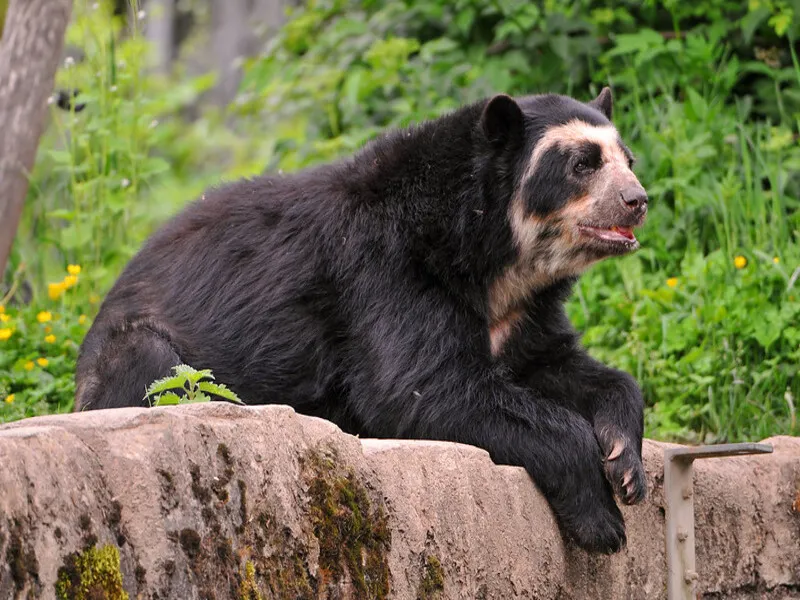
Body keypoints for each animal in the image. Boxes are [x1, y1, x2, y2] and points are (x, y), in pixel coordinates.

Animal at [75, 86, 648, 556]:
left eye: (628, 160)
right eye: (582, 164)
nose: (637, 200)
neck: (494, 259)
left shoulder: (522, 313)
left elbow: (564, 366)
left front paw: (626, 465)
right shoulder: (386, 270)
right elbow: (422, 387)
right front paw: (601, 521)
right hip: (135, 353)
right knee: (149, 364)